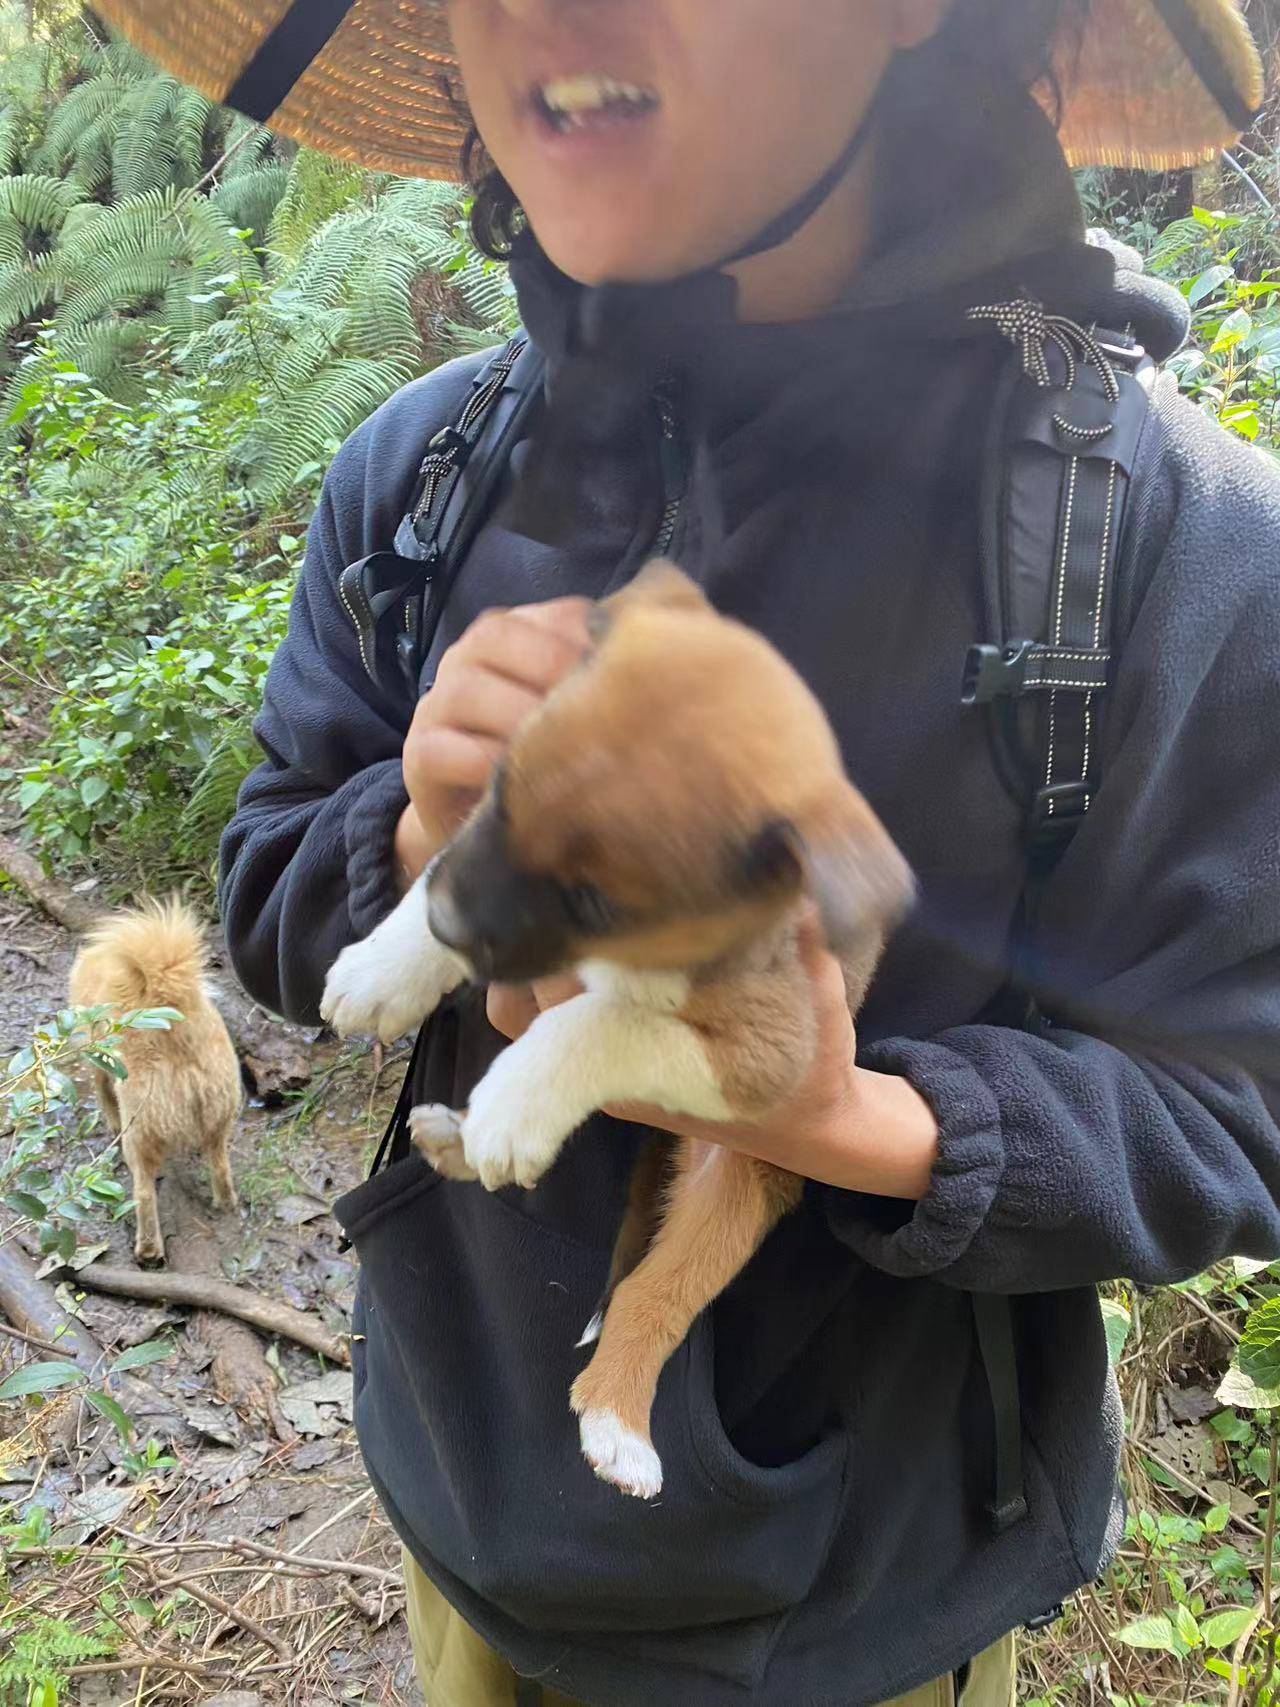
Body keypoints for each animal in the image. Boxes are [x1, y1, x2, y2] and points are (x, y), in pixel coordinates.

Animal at [69, 901, 242, 1263]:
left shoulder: (98, 1066)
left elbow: (104, 1096)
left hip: (139, 1134)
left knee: (144, 1195)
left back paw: (148, 1250)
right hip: (220, 1118)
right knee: (221, 1168)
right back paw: (225, 1204)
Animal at [320, 563, 914, 1495]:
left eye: (595, 901)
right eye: (499, 786)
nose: (453, 929)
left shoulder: (773, 1052)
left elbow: (603, 1020)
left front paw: (519, 1098)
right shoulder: (470, 851)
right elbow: (446, 867)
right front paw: (384, 968)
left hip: (735, 1195)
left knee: (651, 1298)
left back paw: (616, 1423)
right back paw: (453, 1137)